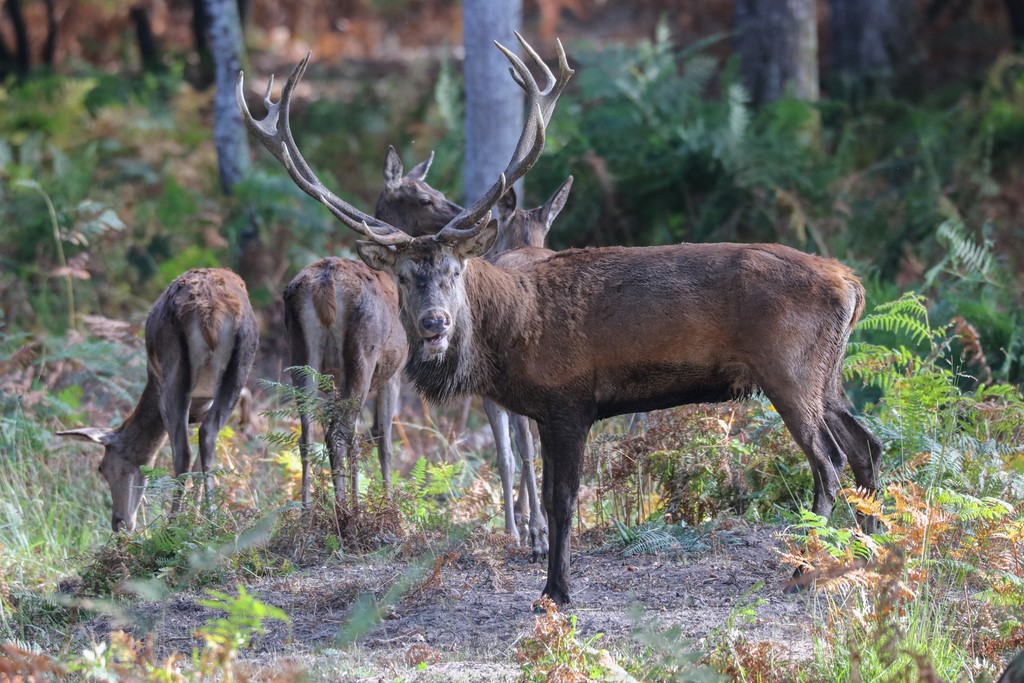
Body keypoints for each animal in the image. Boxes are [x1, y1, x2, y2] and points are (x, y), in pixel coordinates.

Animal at [57, 268, 259, 533]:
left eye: (102, 468)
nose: (118, 523)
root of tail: (211, 316)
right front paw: (197, 516)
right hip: (239, 364)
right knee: (208, 435)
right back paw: (210, 519)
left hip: (174, 369)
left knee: (183, 451)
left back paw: (172, 524)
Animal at [240, 33, 882, 606]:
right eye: (402, 276)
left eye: (454, 269)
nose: (433, 324)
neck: (510, 333)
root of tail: (851, 283)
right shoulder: (544, 410)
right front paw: (550, 582)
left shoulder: (570, 400)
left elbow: (562, 500)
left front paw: (556, 591)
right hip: (827, 375)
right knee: (865, 445)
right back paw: (871, 549)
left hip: (788, 370)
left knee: (827, 462)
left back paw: (803, 568)